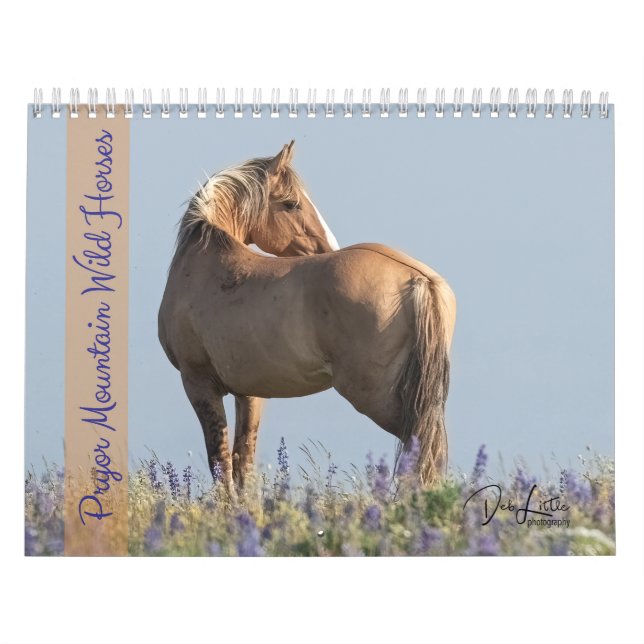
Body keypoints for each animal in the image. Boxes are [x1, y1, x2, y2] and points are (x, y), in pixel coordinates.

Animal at [158, 141, 456, 498]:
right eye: (291, 204)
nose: (328, 246)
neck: (203, 264)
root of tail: (419, 279)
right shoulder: (250, 392)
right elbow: (243, 458)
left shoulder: (198, 384)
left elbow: (220, 461)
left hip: (377, 396)